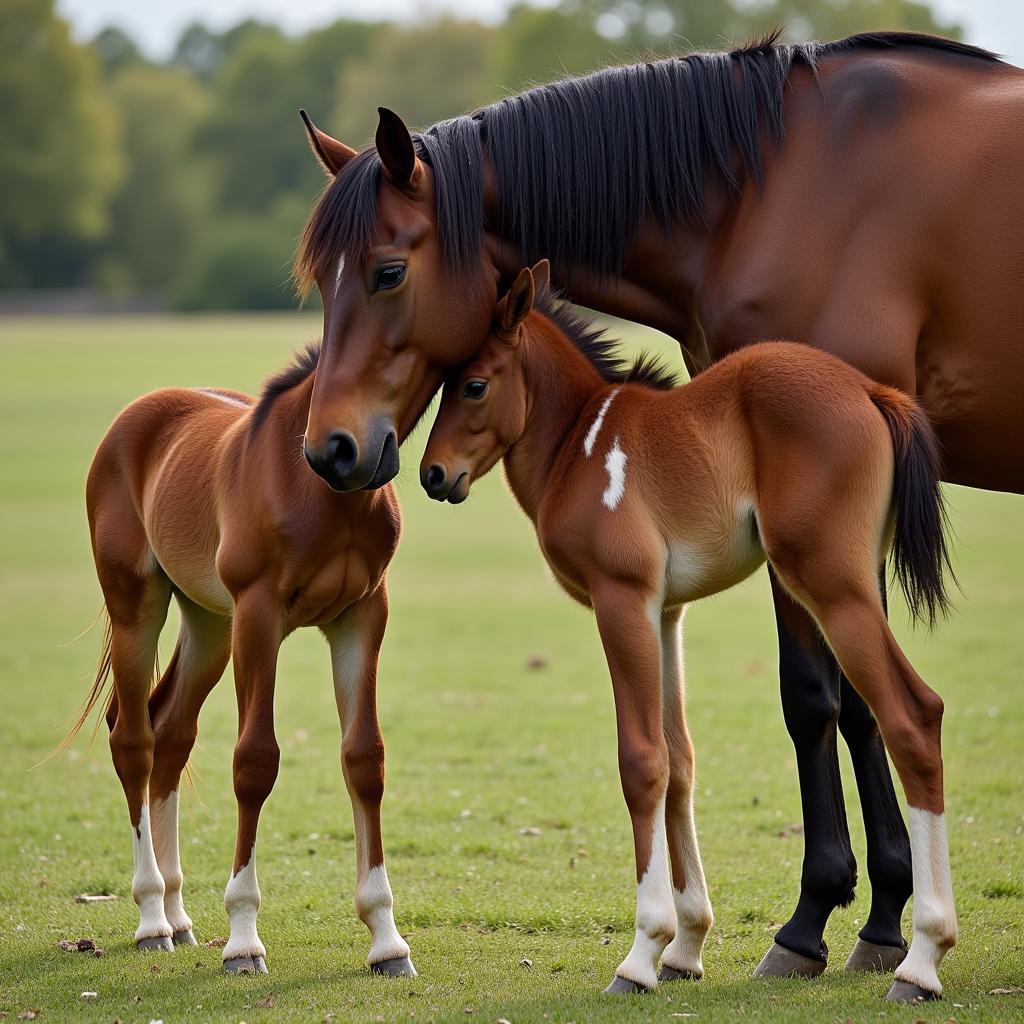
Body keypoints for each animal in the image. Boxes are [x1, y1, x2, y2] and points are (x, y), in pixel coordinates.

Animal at [72, 352, 415, 974]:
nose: (363, 450)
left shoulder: (361, 616)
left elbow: (364, 759)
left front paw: (386, 941)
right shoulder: (259, 618)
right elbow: (255, 762)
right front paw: (243, 939)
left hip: (209, 623)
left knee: (171, 730)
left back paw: (179, 916)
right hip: (138, 606)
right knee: (132, 739)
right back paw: (153, 917)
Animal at [419, 264, 954, 999]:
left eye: (473, 384)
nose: (432, 474)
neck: (579, 444)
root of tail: (873, 392)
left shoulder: (622, 600)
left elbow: (643, 762)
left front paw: (642, 952)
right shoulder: (666, 615)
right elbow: (681, 761)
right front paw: (687, 946)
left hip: (832, 585)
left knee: (911, 713)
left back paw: (922, 958)